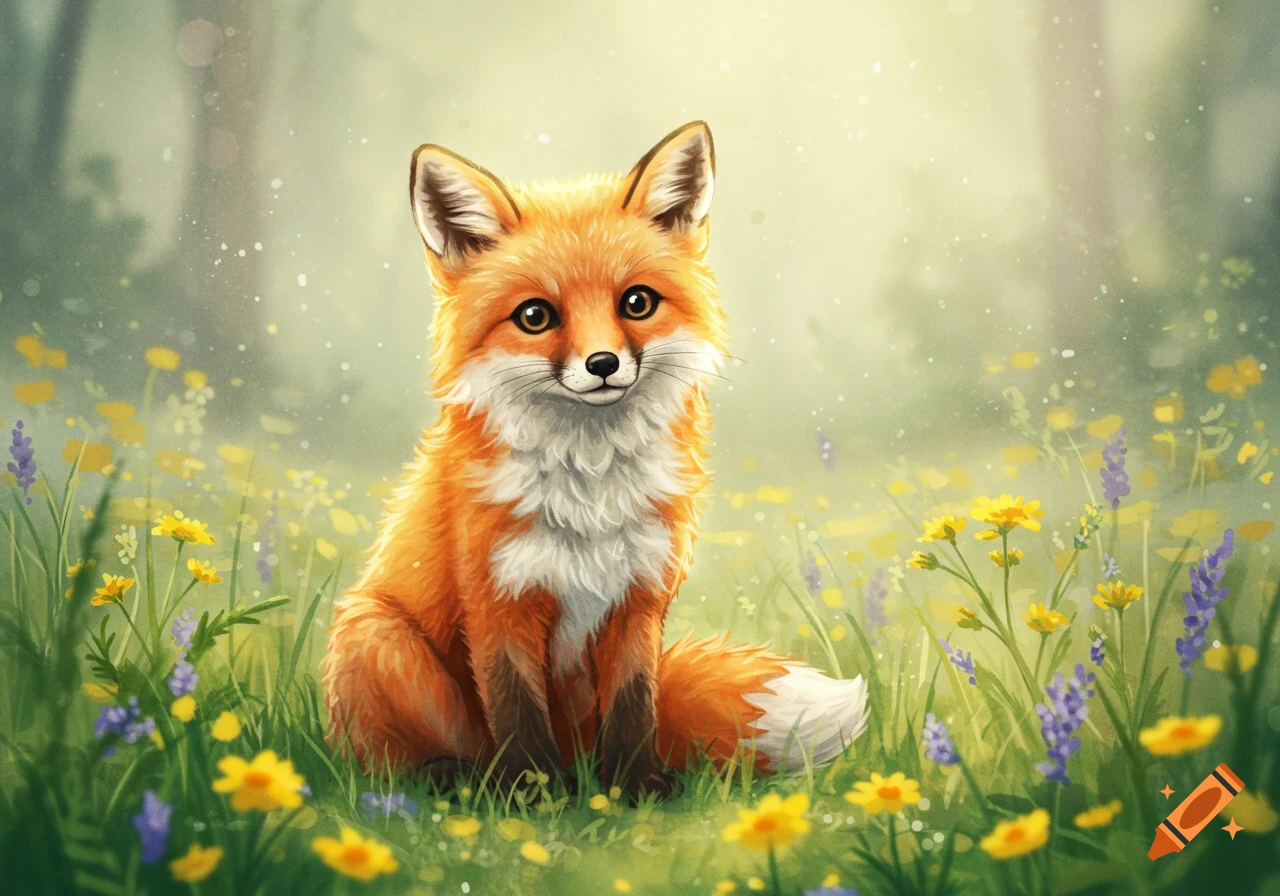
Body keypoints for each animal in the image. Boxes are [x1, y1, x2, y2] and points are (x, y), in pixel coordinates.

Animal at [321, 121, 868, 797]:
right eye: (535, 316)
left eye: (637, 303)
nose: (603, 364)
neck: (590, 487)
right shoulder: (498, 601)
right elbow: (517, 710)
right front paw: (533, 796)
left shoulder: (639, 596)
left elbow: (635, 705)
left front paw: (634, 791)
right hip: (376, 633)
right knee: (393, 760)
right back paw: (459, 780)